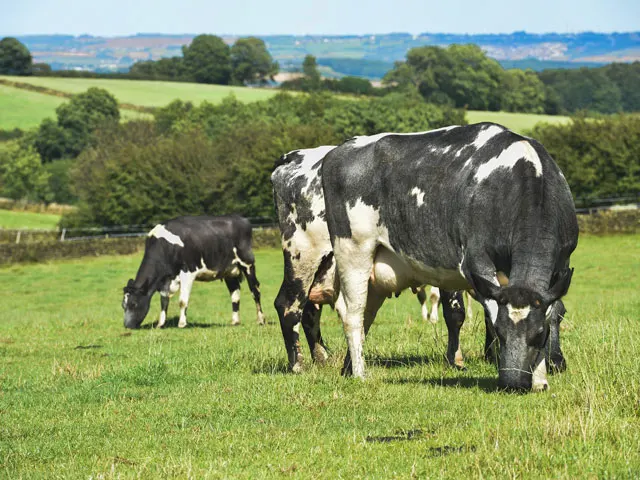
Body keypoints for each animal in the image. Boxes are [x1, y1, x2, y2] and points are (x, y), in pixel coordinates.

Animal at [122, 216, 264, 328]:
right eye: (123, 306)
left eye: (134, 304)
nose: (127, 326)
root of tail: (242, 219)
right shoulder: (165, 280)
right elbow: (164, 301)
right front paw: (160, 324)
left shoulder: (187, 273)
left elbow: (182, 301)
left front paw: (182, 323)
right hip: (229, 271)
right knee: (235, 294)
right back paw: (235, 321)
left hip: (247, 263)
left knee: (255, 291)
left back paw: (261, 320)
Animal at [270, 145, 470, 372]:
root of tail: (292, 156)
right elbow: (456, 313)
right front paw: (456, 360)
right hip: (303, 257)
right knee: (288, 305)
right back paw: (298, 366)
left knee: (310, 311)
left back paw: (322, 358)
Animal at [322, 123, 576, 390]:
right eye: (500, 332)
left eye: (539, 334)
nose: (513, 382)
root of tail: (342, 148)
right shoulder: (476, 260)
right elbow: (489, 309)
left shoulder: (561, 266)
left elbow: (552, 310)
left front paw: (540, 378)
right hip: (353, 251)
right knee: (353, 315)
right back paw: (360, 374)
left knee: (366, 315)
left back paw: (348, 369)